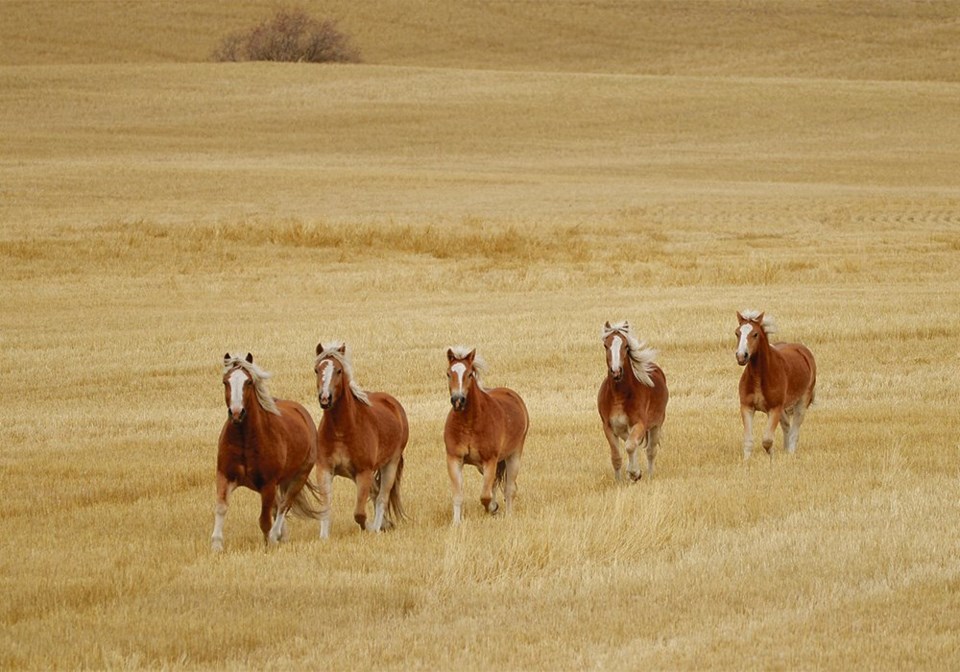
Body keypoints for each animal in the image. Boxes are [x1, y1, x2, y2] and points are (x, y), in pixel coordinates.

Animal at [212, 352, 320, 552]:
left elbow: (265, 520)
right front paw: (216, 545)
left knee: (284, 505)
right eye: (225, 382)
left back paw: (276, 535)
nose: (236, 413)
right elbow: (221, 507)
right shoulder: (225, 475)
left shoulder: (268, 484)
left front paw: (268, 543)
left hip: (299, 477)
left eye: (248, 382)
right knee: (278, 507)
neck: (245, 439)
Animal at [314, 342, 406, 536]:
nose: (325, 398)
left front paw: (371, 528)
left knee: (382, 497)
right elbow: (325, 508)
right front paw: (323, 538)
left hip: (390, 464)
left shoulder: (364, 472)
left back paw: (378, 527)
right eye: (317, 370)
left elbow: (359, 514)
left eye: (339, 370)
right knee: (375, 493)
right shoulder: (324, 469)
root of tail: (394, 404)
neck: (341, 430)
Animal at [444, 346, 528, 524]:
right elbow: (458, 494)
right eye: (448, 373)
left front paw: (493, 508)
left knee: (509, 488)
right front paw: (456, 523)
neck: (470, 423)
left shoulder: (490, 460)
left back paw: (508, 515)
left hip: (513, 456)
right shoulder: (454, 459)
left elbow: (485, 496)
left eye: (469, 374)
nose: (458, 400)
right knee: (495, 483)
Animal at [596, 322, 672, 484]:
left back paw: (649, 476)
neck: (618, 396)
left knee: (650, 451)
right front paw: (619, 482)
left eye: (625, 346)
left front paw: (634, 473)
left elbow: (631, 447)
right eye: (606, 345)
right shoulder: (608, 427)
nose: (616, 371)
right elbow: (617, 457)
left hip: (656, 426)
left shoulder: (640, 424)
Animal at [736, 312, 816, 460]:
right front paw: (746, 461)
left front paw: (771, 457)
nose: (741, 356)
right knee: (787, 426)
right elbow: (749, 440)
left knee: (794, 431)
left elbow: (767, 440)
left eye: (755, 334)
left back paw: (790, 453)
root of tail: (804, 351)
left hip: (801, 403)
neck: (759, 378)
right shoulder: (746, 407)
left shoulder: (774, 409)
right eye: (737, 333)